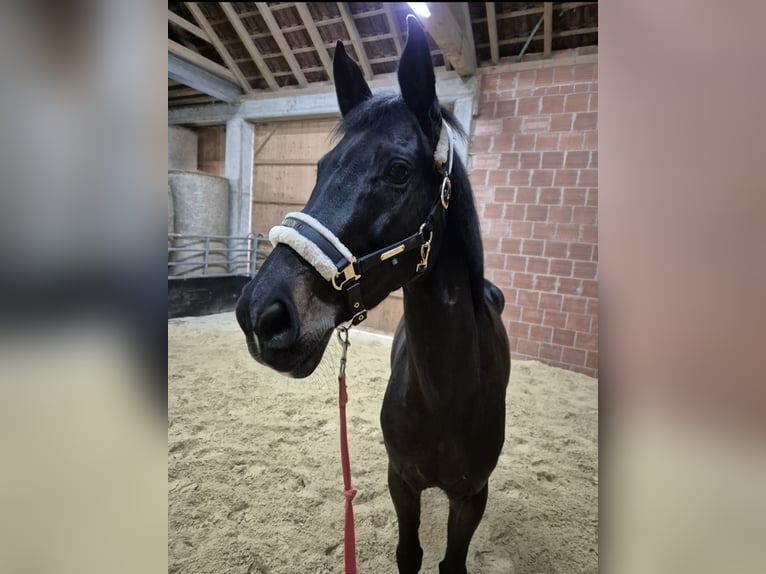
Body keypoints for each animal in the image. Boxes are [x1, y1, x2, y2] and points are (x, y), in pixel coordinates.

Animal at [236, 15, 510, 574]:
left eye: (399, 170)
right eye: (320, 167)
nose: (260, 314)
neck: (448, 395)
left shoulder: (472, 497)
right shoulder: (400, 480)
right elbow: (410, 553)